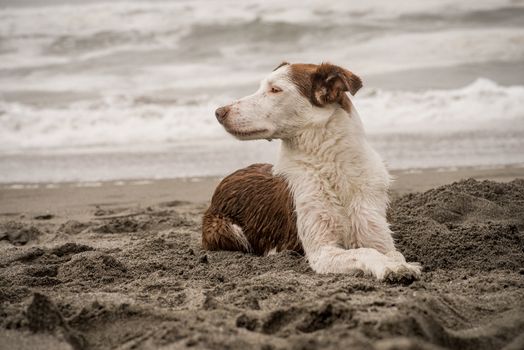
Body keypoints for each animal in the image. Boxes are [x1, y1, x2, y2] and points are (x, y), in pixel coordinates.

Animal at [201, 62, 422, 282]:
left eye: (275, 89)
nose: (219, 112)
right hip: (226, 230)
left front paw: (401, 264)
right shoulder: (321, 252)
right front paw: (390, 267)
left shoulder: (377, 235)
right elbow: (364, 252)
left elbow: (394, 253)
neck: (332, 166)